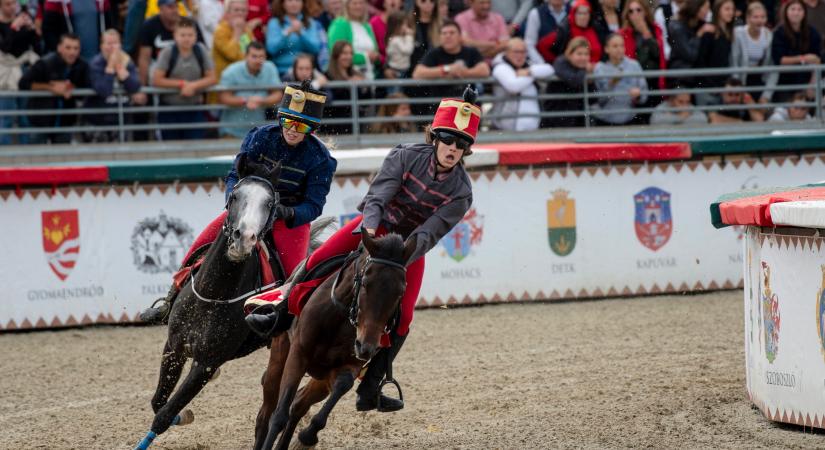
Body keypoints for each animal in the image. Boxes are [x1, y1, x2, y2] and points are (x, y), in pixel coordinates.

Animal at [134, 156, 328, 450]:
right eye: (235, 195)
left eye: (270, 203)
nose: (243, 238)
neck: (214, 294)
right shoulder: (174, 347)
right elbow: (158, 402)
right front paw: (183, 414)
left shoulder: (207, 363)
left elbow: (164, 415)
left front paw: (181, 415)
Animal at [254, 232, 416, 450]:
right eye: (366, 282)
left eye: (401, 292)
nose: (366, 347)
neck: (340, 317)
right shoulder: (298, 354)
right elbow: (279, 416)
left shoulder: (350, 364)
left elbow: (342, 385)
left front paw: (308, 436)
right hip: (280, 356)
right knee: (266, 413)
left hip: (321, 375)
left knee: (299, 404)